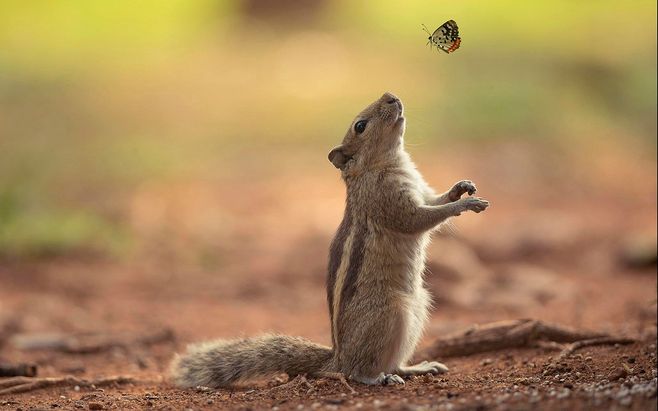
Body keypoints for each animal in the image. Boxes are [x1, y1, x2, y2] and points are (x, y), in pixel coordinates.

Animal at [169, 93, 486, 390]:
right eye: (360, 126)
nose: (391, 96)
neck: (383, 164)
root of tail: (337, 357)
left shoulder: (421, 190)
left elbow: (435, 200)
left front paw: (461, 188)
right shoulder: (387, 201)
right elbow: (418, 219)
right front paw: (463, 205)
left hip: (419, 307)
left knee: (393, 362)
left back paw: (417, 368)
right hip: (391, 313)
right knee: (358, 371)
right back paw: (378, 378)